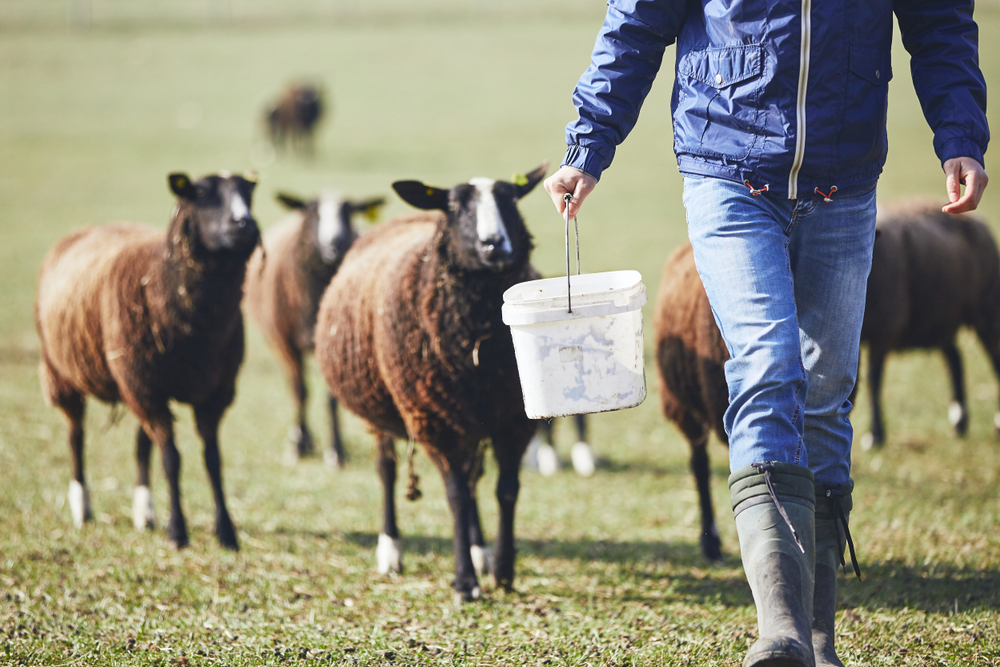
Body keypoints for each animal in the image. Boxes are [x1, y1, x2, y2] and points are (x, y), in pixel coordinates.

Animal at [36, 172, 258, 552]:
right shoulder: (148, 388)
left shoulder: (212, 392)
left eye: (248, 193)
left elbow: (213, 459)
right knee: (76, 437)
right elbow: (172, 459)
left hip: (138, 385)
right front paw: (178, 532)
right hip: (65, 375)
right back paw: (83, 507)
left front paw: (226, 532)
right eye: (201, 193)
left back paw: (145, 513)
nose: (244, 223)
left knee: (142, 446)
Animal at [244, 190, 384, 468]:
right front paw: (298, 446)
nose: (334, 242)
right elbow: (300, 391)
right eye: (313, 212)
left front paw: (336, 451)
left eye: (347, 212)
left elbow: (331, 399)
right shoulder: (285, 343)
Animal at [316, 163, 548, 604]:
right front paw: (465, 584)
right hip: (386, 408)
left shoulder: (514, 418)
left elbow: (506, 489)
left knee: (474, 480)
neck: (480, 345)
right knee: (388, 470)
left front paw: (503, 570)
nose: (494, 245)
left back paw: (479, 549)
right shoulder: (433, 421)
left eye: (511, 199)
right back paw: (391, 549)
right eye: (455, 205)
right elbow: (455, 495)